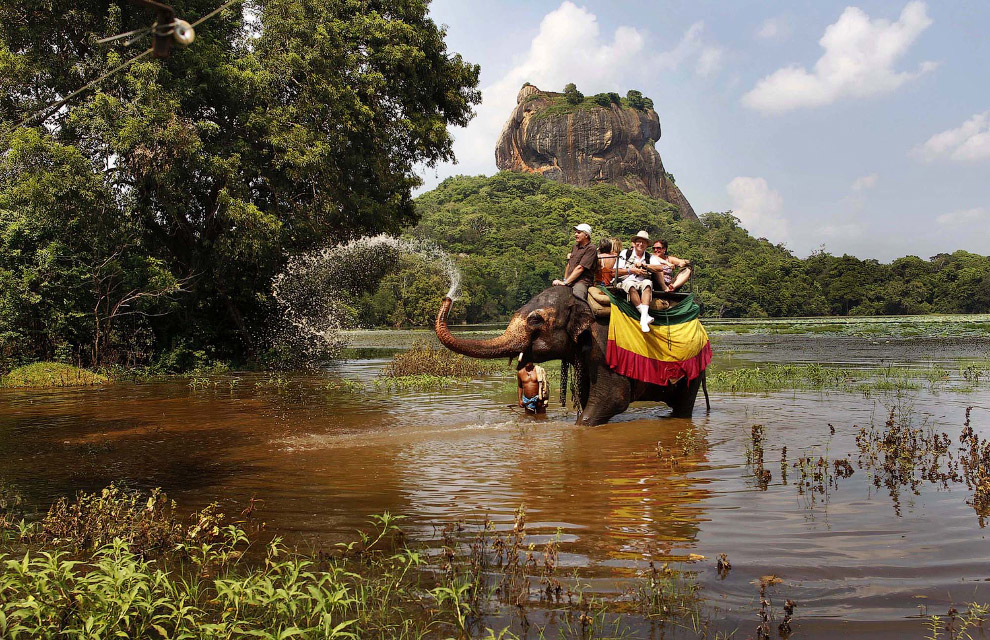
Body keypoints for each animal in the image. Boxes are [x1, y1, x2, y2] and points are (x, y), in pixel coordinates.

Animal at [436, 284, 712, 424]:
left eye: (535, 320)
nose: (447, 298)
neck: (580, 300)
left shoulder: (604, 346)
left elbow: (614, 398)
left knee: (683, 406)